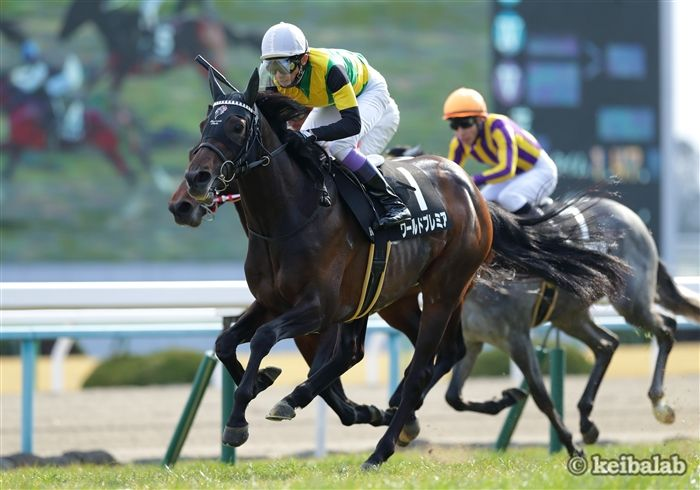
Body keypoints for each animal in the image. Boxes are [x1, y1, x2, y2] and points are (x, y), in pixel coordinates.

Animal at [58, 0, 260, 92]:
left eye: (77, 8)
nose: (62, 33)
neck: (119, 28)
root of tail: (216, 25)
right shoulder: (114, 64)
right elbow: (91, 82)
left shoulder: (123, 67)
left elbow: (112, 94)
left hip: (215, 60)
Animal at [181, 66, 629, 469]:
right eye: (204, 123)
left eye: (238, 125)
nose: (196, 179)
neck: (290, 217)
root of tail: (472, 192)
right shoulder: (274, 302)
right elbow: (226, 343)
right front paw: (263, 383)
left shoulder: (317, 308)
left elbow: (262, 339)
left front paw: (239, 420)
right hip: (389, 296)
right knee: (382, 352)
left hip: (443, 289)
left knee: (421, 366)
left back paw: (380, 449)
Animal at [444, 198, 700, 442]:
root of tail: (632, 217)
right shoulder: (473, 342)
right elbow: (453, 397)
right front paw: (506, 398)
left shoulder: (516, 337)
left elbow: (541, 397)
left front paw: (571, 447)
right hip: (569, 315)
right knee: (606, 344)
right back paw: (587, 421)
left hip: (630, 301)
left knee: (666, 328)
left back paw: (659, 403)